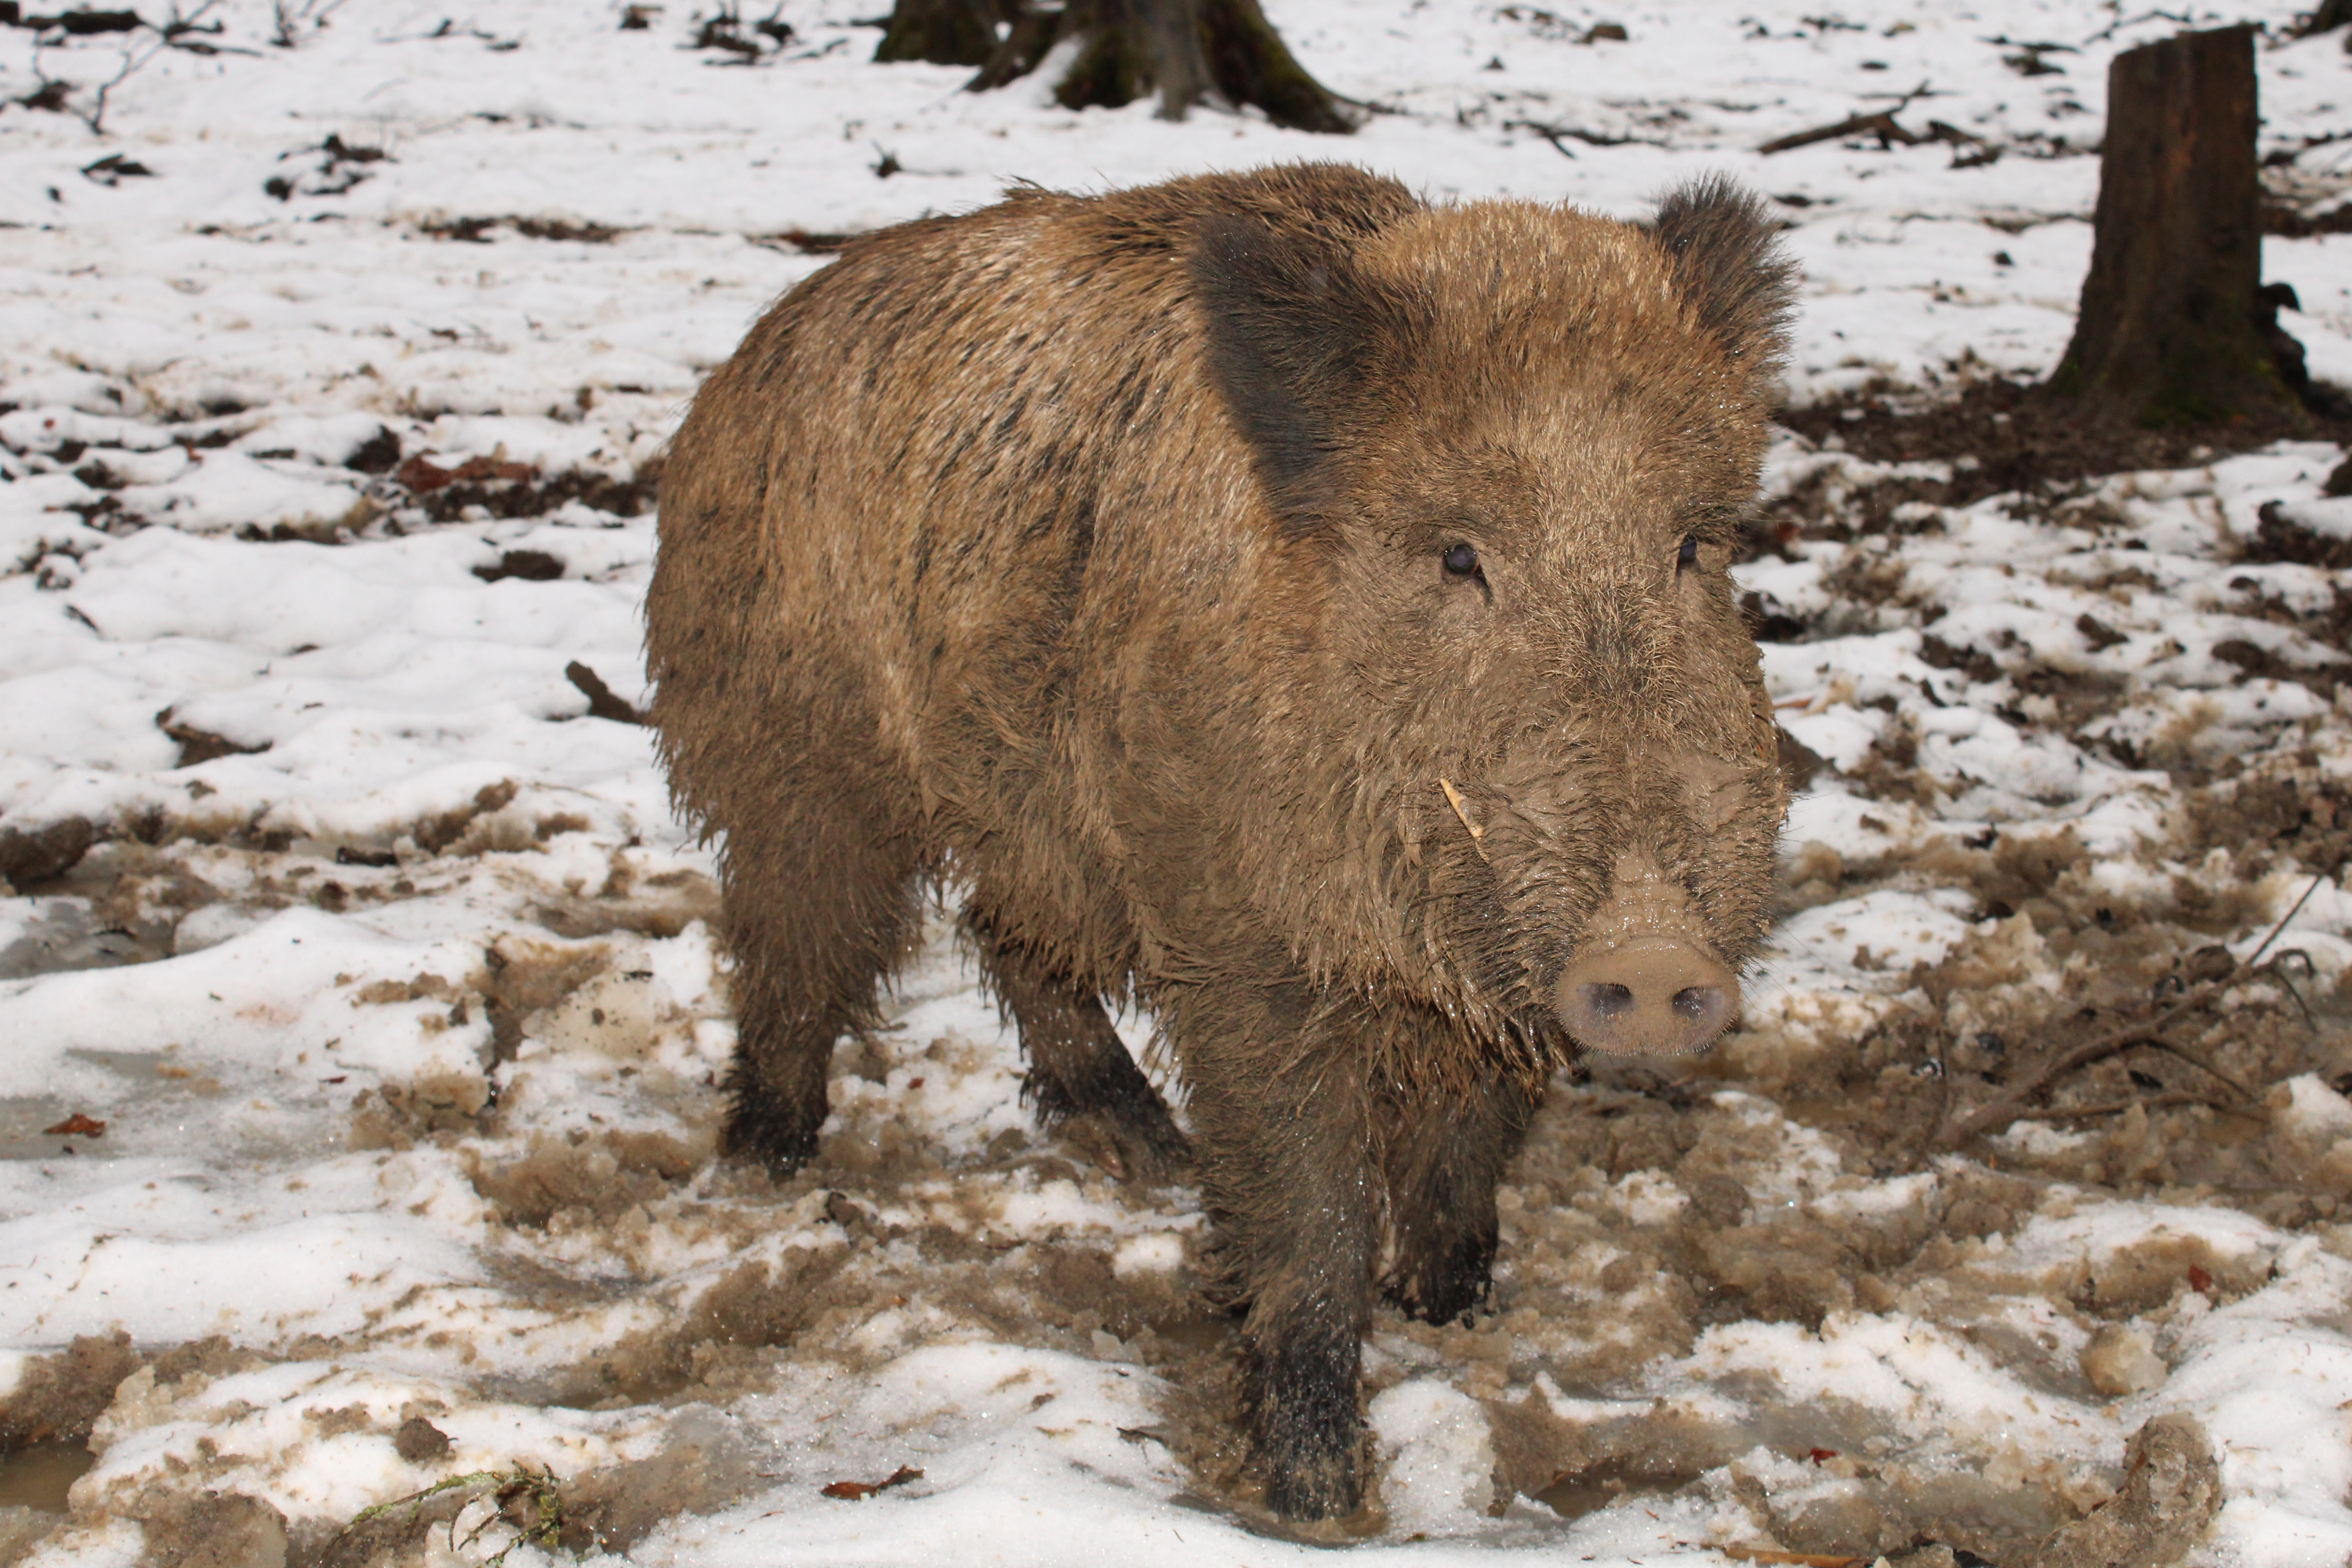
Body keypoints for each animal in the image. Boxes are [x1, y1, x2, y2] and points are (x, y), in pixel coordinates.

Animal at [646, 162, 1794, 1522]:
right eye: (1460, 554)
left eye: (1691, 547)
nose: (1660, 955)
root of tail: (747, 362)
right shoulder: (1237, 942)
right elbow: (1306, 1203)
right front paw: (1315, 1495)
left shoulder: (1489, 976)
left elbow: (1467, 1144)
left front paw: (1450, 1310)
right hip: (790, 749)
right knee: (795, 942)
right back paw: (769, 1164)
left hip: (1024, 809)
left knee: (1004, 927)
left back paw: (1140, 1148)